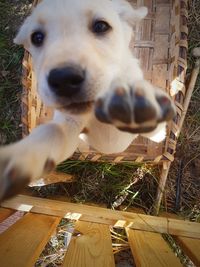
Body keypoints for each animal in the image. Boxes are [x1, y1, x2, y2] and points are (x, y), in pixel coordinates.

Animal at [0, 0, 175, 200]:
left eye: (101, 26)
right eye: (36, 37)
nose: (64, 79)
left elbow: (155, 128)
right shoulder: (69, 125)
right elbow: (52, 132)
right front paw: (20, 158)